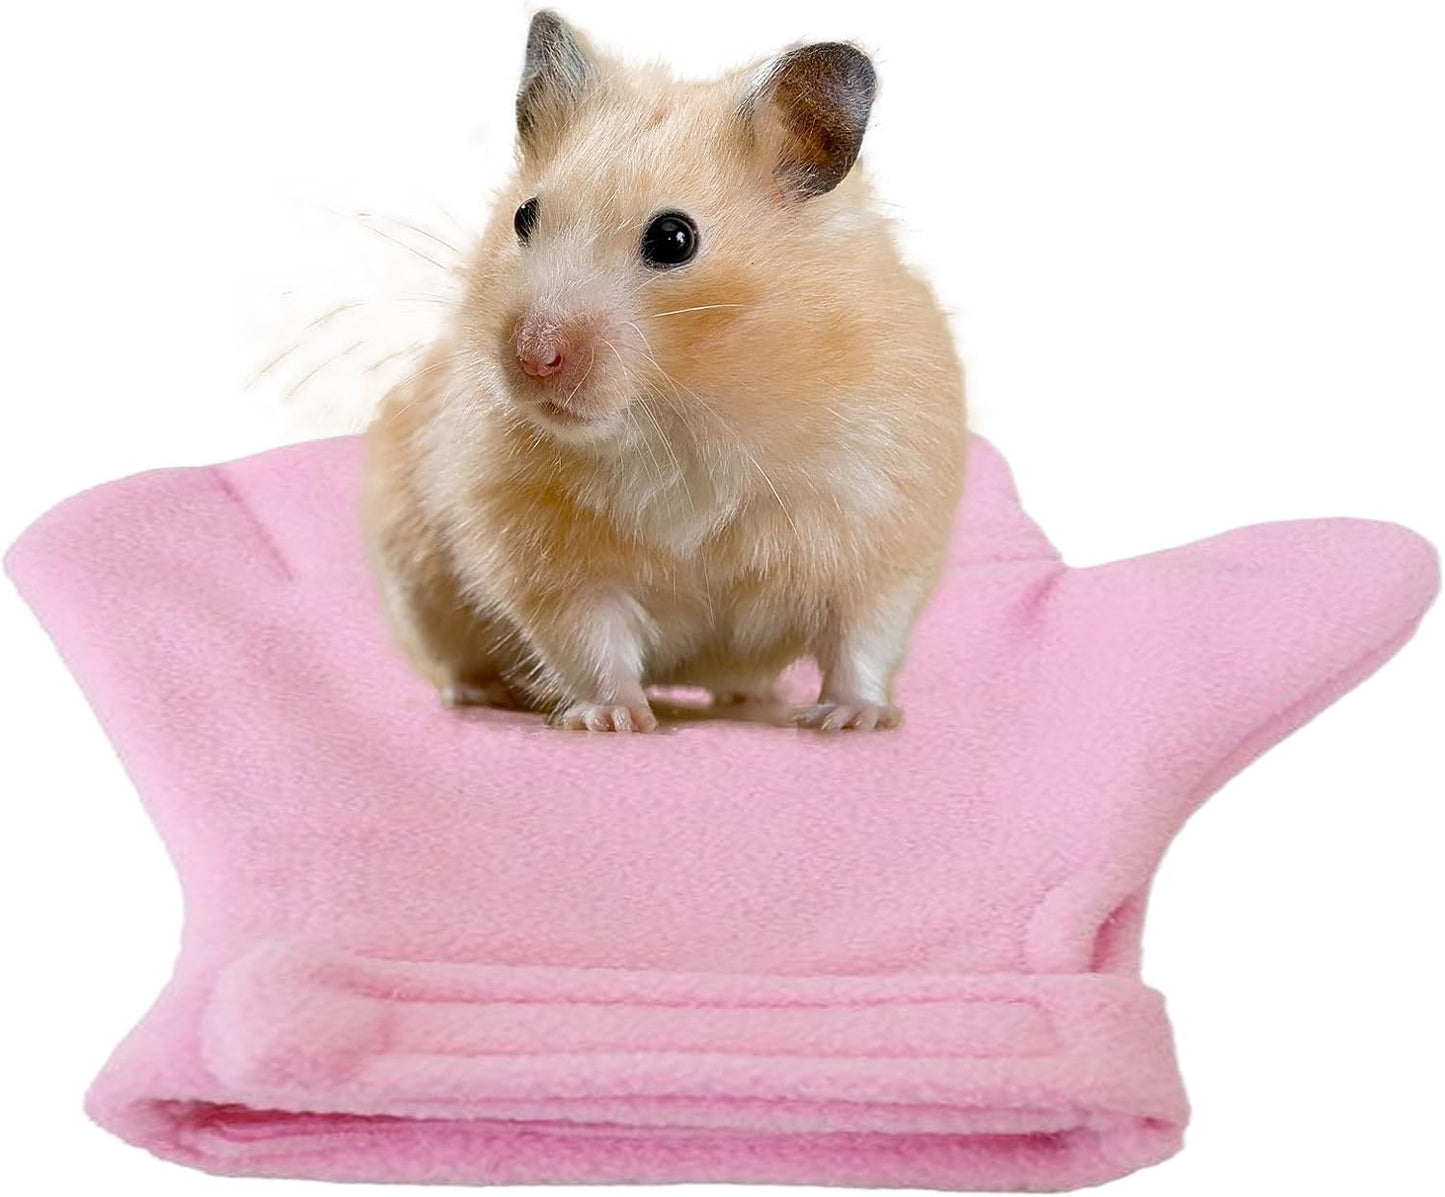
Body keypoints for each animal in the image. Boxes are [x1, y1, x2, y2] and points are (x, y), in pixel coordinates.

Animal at [361, 10, 965, 732]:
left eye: (674, 239)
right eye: (523, 216)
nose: (533, 357)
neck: (681, 410)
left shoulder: (882, 525)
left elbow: (862, 637)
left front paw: (851, 720)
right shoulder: (545, 557)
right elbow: (589, 639)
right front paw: (612, 720)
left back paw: (760, 701)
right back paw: (481, 693)